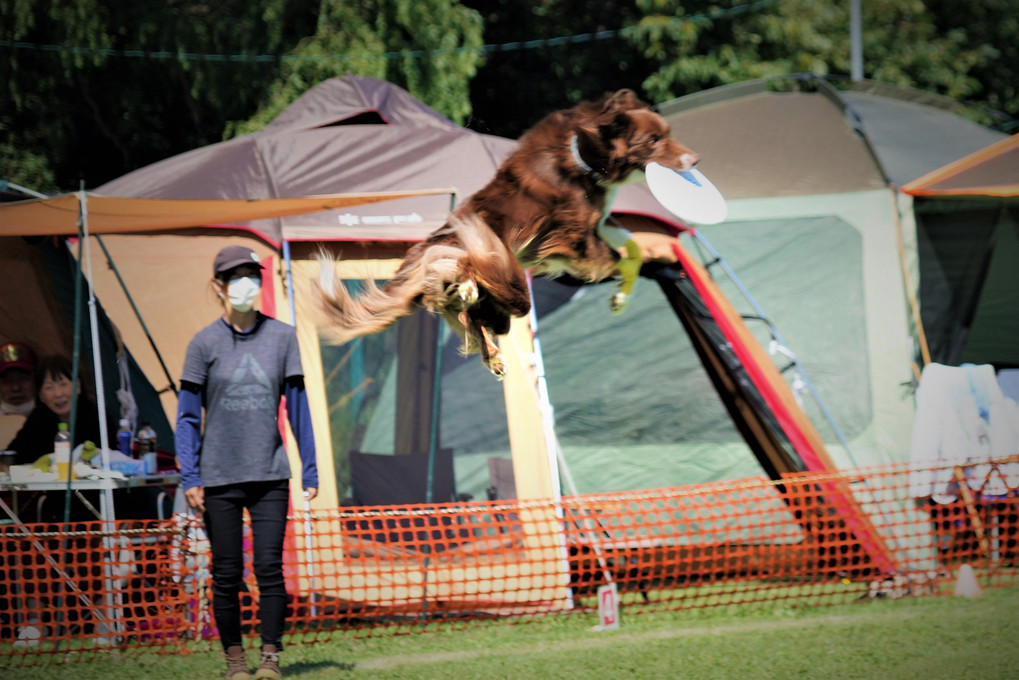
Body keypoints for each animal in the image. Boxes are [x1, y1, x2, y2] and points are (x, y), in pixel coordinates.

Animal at [315, 87, 701, 377]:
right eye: (654, 140)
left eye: (667, 134)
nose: (695, 160)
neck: (584, 155)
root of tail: (419, 255)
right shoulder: (573, 238)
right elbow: (620, 258)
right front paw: (620, 294)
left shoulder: (600, 222)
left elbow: (632, 251)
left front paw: (620, 298)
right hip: (505, 285)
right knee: (470, 298)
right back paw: (467, 288)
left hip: (497, 298)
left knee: (470, 316)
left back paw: (487, 340)